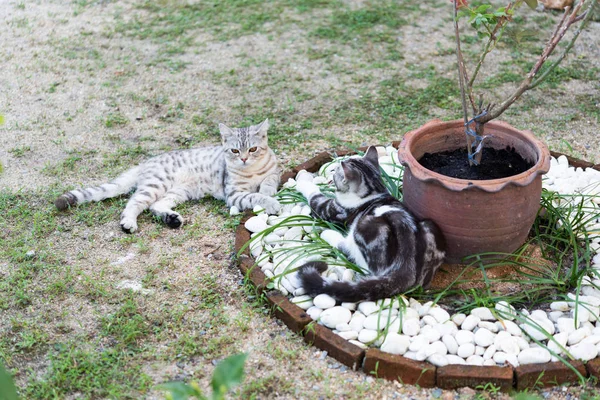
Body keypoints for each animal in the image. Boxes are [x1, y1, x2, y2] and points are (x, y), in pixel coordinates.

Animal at [55, 118, 280, 234]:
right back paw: (129, 223)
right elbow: (253, 196)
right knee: (134, 202)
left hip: (178, 192)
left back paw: (172, 219)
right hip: (156, 185)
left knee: (155, 206)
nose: (243, 159)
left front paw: (268, 191)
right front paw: (271, 202)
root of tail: (145, 162)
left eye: (252, 149)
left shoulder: (273, 170)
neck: (251, 171)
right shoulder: (233, 194)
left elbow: (271, 179)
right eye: (234, 151)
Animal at [296, 147, 446, 304]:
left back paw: (329, 235)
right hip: (430, 225)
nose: (333, 169)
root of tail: (405, 269)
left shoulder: (330, 209)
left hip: (364, 225)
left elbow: (314, 196)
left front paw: (302, 184)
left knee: (351, 253)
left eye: (335, 171)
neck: (374, 191)